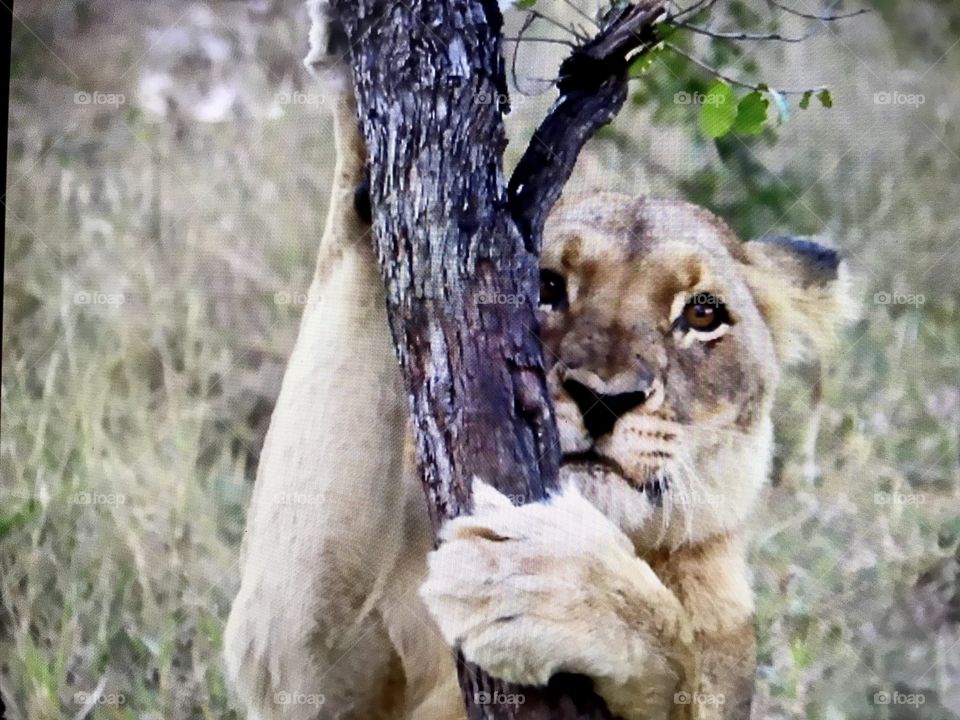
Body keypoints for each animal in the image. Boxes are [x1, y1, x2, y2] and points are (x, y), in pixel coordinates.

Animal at [223, 4, 848, 719]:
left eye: (702, 314)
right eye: (547, 285)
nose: (606, 398)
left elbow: (675, 653)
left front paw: (536, 581)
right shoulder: (301, 661)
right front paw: (353, 48)